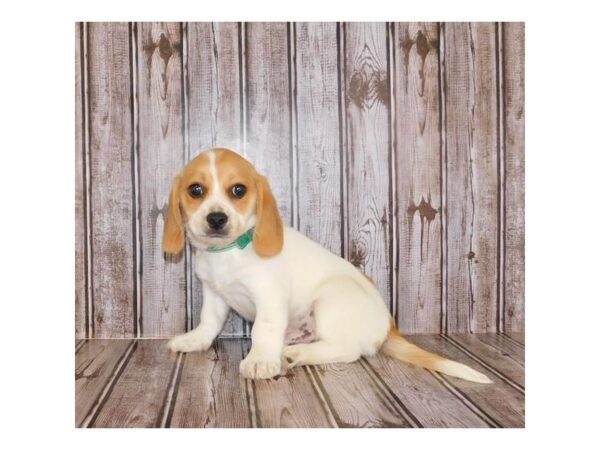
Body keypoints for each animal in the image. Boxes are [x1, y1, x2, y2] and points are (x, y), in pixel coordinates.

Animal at [162, 149, 490, 384]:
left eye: (238, 190)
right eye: (195, 190)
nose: (216, 219)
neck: (229, 253)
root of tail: (388, 326)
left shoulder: (269, 299)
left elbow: (262, 331)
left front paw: (260, 360)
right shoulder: (214, 295)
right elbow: (208, 322)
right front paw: (194, 340)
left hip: (330, 301)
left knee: (347, 350)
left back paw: (294, 354)